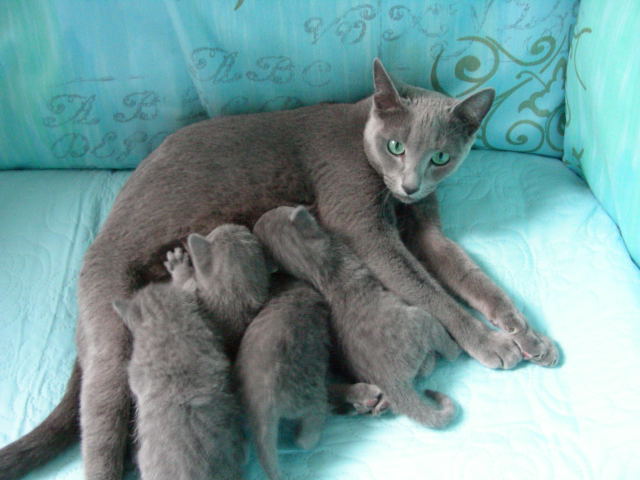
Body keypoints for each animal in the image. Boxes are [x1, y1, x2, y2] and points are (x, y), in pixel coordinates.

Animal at [254, 205, 462, 429]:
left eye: (275, 211)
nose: (258, 219)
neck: (317, 267)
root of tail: (394, 383)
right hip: (422, 321)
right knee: (438, 356)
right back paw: (455, 349)